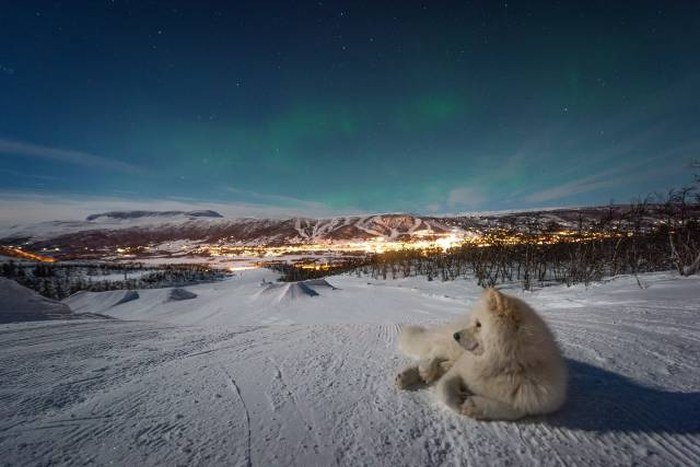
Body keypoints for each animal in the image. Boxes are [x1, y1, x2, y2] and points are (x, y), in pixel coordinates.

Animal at [396, 288, 568, 422]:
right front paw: (458, 398)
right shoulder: (459, 370)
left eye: (479, 325)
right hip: (453, 349)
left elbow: (514, 410)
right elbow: (445, 391)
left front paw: (474, 406)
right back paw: (420, 372)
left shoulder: (538, 399)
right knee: (433, 353)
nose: (455, 335)